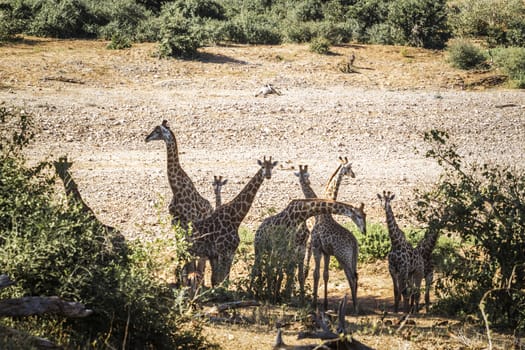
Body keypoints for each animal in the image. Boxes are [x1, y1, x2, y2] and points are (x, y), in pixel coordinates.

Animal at [188, 157, 278, 288]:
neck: (236, 218)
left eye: (271, 167)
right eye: (262, 167)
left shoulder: (230, 252)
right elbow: (219, 279)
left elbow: (224, 279)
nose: (268, 175)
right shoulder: (221, 252)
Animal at [310, 156, 362, 312]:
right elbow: (325, 275)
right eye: (349, 168)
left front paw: (315, 303)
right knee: (355, 276)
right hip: (352, 258)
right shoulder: (326, 252)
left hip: (343, 257)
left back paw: (355, 307)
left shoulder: (318, 248)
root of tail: (355, 243)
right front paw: (325, 303)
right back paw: (355, 305)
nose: (353, 175)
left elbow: (317, 274)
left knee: (352, 277)